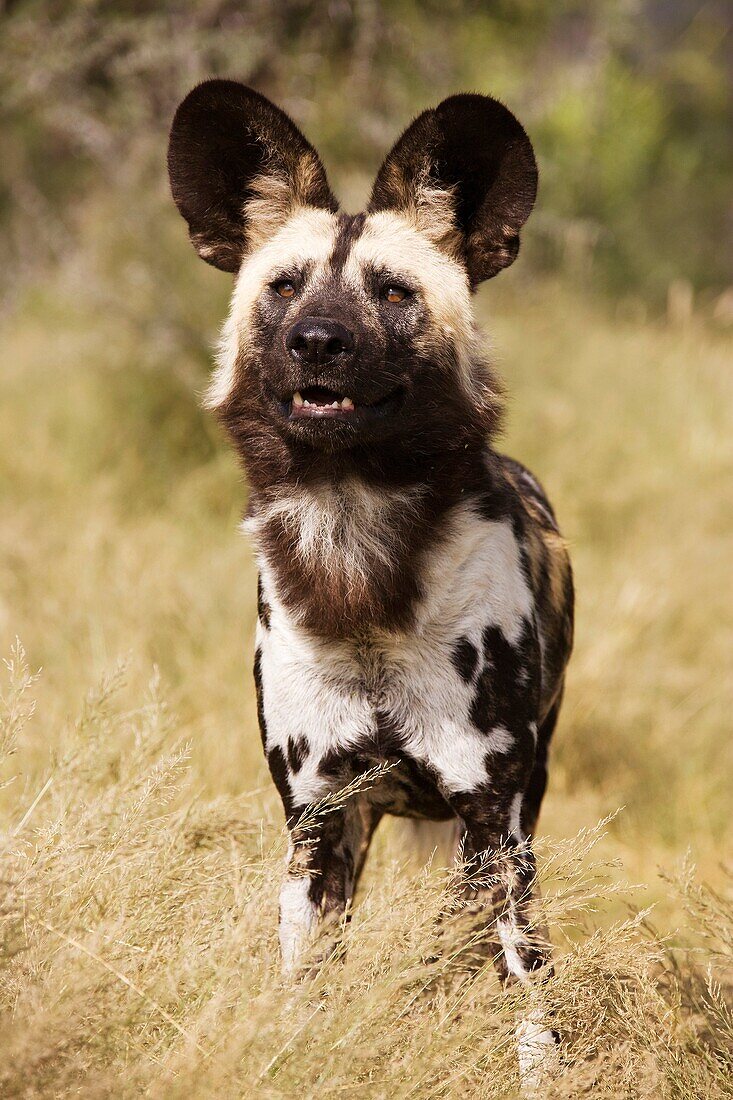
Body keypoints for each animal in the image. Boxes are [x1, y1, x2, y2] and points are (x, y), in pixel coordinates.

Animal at [167, 81, 572, 1086]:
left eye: (392, 293)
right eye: (283, 286)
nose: (317, 342)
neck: (356, 565)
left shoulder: (493, 824)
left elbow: (530, 1008)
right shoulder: (317, 823)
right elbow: (303, 989)